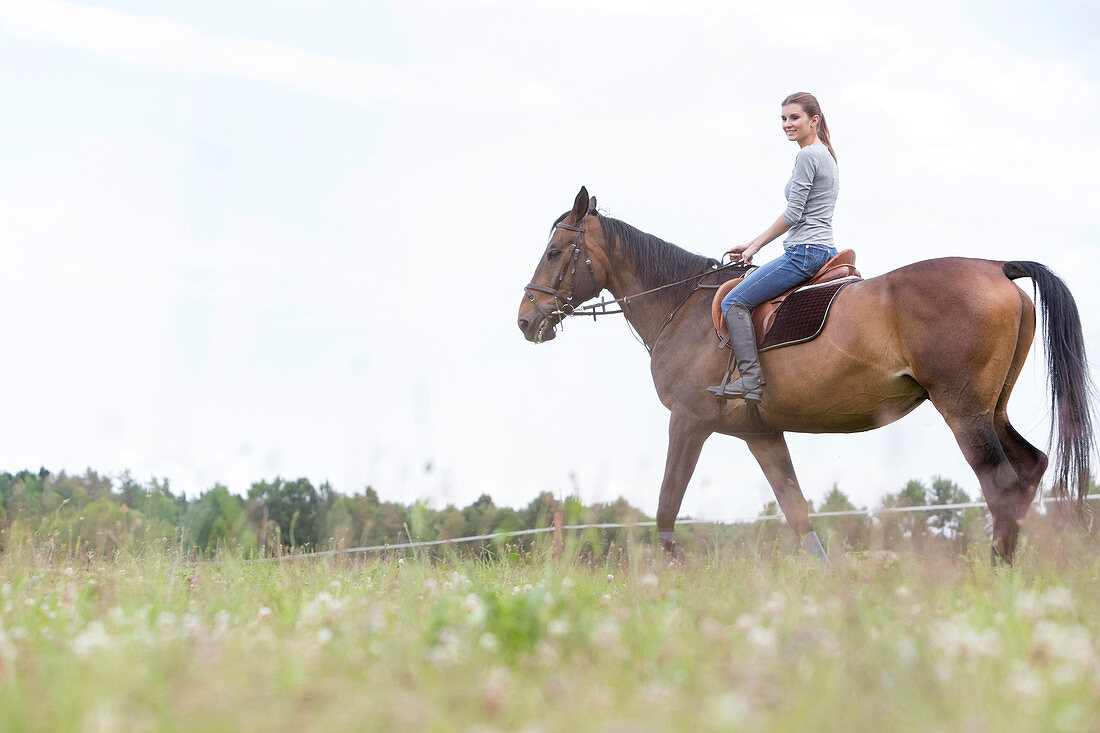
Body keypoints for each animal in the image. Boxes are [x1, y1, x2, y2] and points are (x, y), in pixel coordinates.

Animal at [519, 187, 1095, 559]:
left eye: (554, 251)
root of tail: (996, 267)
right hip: (990, 409)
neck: (682, 305)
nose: (525, 320)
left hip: (964, 411)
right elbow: (797, 513)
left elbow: (665, 508)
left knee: (1001, 483)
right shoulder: (762, 434)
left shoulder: (687, 422)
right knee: (1029, 469)